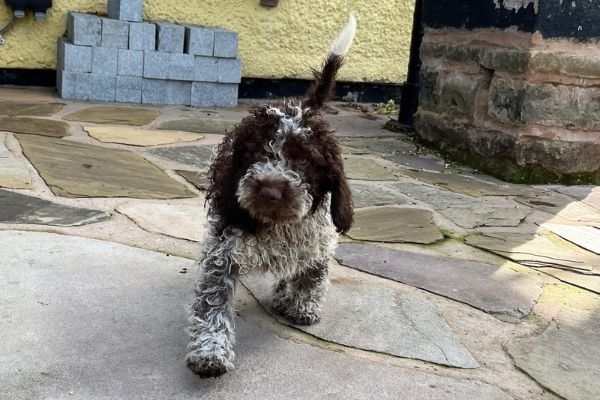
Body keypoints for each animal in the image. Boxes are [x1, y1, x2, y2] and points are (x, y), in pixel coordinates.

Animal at [186, 13, 356, 378]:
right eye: (253, 153)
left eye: (304, 160)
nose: (270, 189)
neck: (276, 227)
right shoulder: (223, 250)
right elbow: (212, 304)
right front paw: (210, 351)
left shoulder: (319, 240)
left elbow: (312, 274)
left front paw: (302, 304)